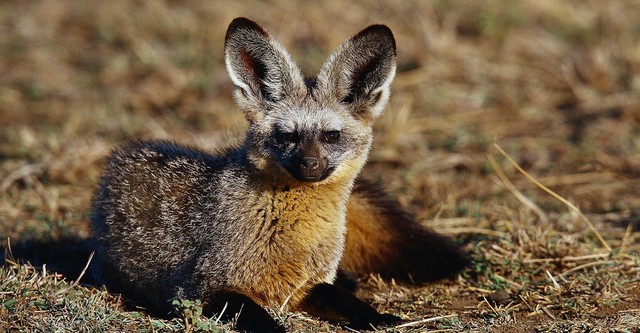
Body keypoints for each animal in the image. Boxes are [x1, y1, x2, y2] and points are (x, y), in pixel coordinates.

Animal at [90, 16, 468, 332]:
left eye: (331, 136)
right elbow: (257, 316)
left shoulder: (305, 286)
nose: (309, 165)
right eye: (288, 136)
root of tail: (124, 154)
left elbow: (344, 300)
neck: (294, 235)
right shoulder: (198, 289)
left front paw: (378, 317)